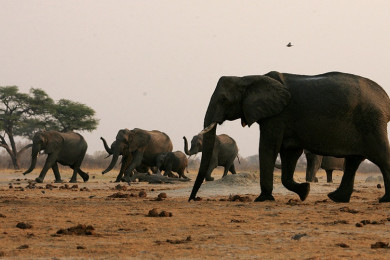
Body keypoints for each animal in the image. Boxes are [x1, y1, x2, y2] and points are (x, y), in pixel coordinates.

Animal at [190, 71, 390, 203]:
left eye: (223, 100)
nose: (193, 199)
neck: (247, 77)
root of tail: (385, 99)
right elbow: (290, 152)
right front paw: (304, 191)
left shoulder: (277, 116)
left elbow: (269, 147)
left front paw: (263, 199)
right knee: (354, 160)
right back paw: (336, 198)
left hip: (371, 122)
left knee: (380, 157)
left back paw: (384, 200)